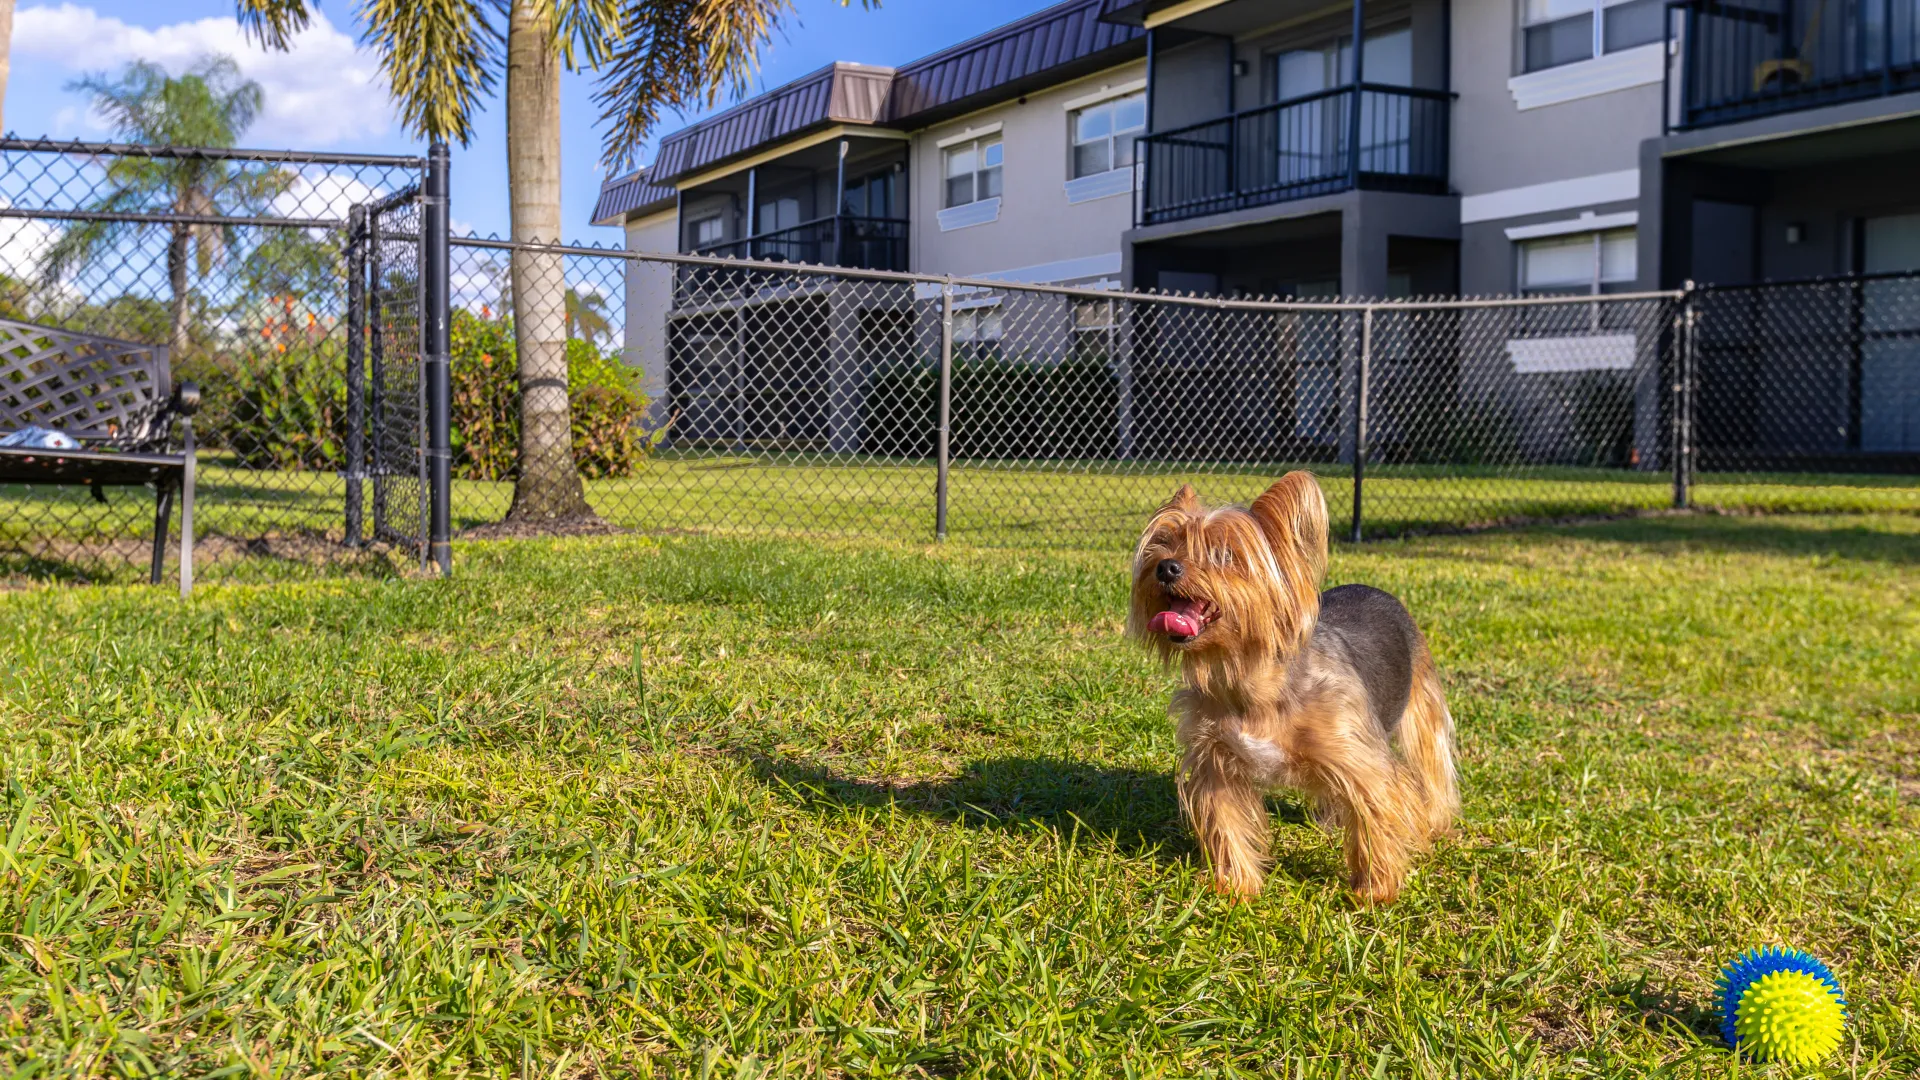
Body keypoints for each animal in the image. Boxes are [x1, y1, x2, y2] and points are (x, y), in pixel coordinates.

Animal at [1121, 470, 1451, 899]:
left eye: (1224, 554)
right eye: (1164, 542)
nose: (1165, 568)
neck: (1248, 677)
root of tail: (1376, 589)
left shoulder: (1360, 760)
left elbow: (1375, 815)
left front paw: (1373, 890)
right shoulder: (1215, 763)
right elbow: (1226, 823)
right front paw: (1236, 886)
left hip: (1421, 703)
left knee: (1432, 761)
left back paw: (1438, 820)